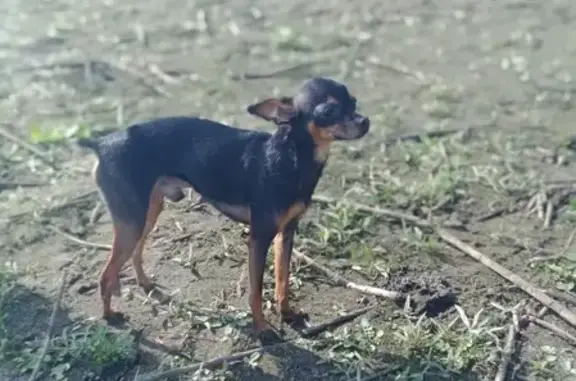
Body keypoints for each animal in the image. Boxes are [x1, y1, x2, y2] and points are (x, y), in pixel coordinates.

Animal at [77, 75, 368, 336]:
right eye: (329, 111)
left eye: (354, 101)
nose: (365, 121)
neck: (290, 156)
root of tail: (101, 142)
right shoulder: (259, 239)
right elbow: (255, 290)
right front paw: (262, 328)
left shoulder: (286, 234)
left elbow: (282, 280)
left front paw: (286, 313)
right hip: (132, 222)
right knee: (106, 275)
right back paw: (110, 316)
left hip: (147, 214)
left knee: (136, 252)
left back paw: (145, 284)